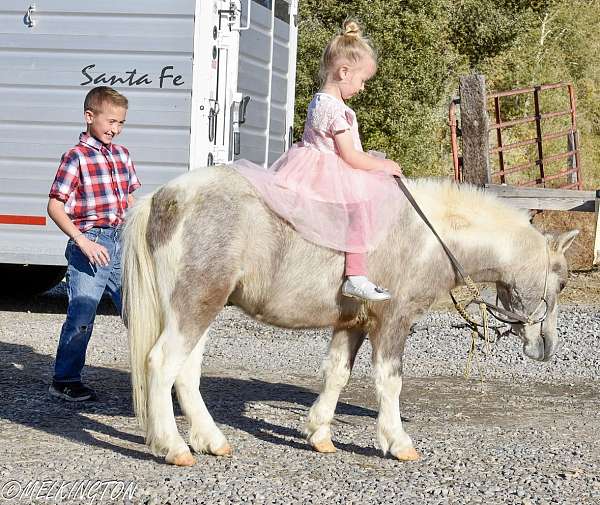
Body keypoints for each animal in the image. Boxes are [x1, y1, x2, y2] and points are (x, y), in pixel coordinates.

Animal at [120, 167, 576, 466]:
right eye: (563, 281)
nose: (547, 346)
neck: (429, 235)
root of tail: (163, 198)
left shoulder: (352, 325)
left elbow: (337, 374)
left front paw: (319, 433)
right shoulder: (393, 321)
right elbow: (389, 381)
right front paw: (398, 441)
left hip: (200, 308)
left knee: (186, 373)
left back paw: (211, 440)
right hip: (194, 306)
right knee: (162, 364)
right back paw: (173, 447)